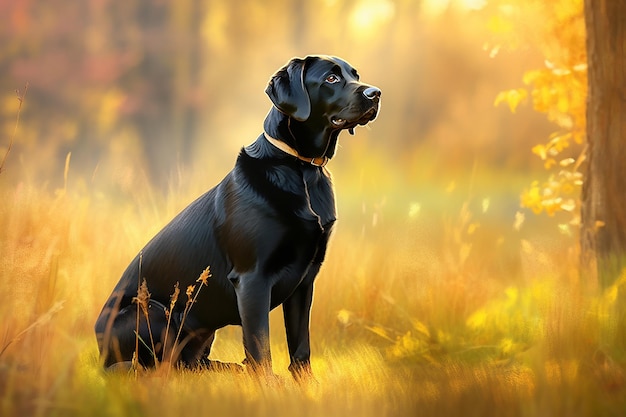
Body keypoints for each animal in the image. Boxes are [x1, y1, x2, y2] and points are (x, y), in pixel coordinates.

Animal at [94, 55, 380, 376]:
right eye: (331, 78)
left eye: (355, 75)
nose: (376, 93)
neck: (303, 168)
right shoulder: (252, 278)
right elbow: (260, 347)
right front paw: (268, 384)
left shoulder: (306, 279)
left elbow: (300, 346)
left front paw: (304, 384)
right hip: (153, 311)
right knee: (159, 366)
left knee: (192, 364)